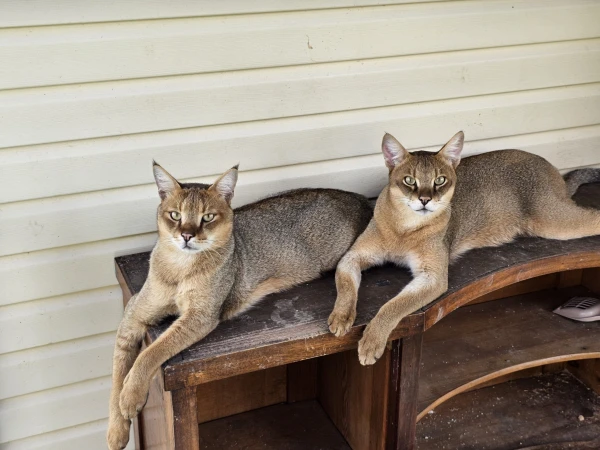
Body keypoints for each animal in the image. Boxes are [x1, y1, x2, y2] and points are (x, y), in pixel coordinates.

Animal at [105, 163, 372, 450]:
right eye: (175, 215)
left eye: (208, 217)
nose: (186, 235)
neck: (180, 268)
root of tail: (357, 197)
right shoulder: (135, 311)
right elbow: (117, 374)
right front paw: (117, 430)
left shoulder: (201, 316)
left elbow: (152, 351)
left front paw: (130, 396)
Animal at [330, 130, 600, 366]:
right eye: (409, 180)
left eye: (440, 180)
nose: (425, 200)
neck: (404, 228)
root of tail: (548, 164)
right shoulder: (352, 256)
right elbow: (345, 286)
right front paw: (341, 317)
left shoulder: (433, 276)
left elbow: (393, 305)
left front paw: (371, 341)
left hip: (553, 222)